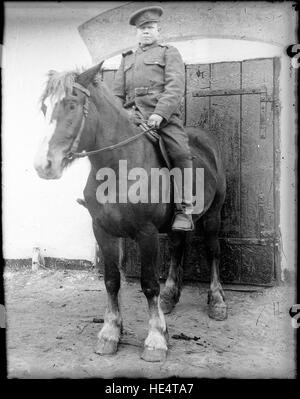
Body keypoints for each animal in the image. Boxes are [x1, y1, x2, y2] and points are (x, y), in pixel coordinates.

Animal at [34, 62, 227, 362]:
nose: (44, 165)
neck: (118, 169)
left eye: (72, 104)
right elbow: (112, 281)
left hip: (212, 217)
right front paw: (110, 333)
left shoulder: (146, 234)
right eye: (45, 107)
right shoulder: (103, 231)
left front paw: (156, 338)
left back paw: (216, 300)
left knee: (212, 252)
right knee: (177, 248)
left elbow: (149, 284)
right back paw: (170, 297)